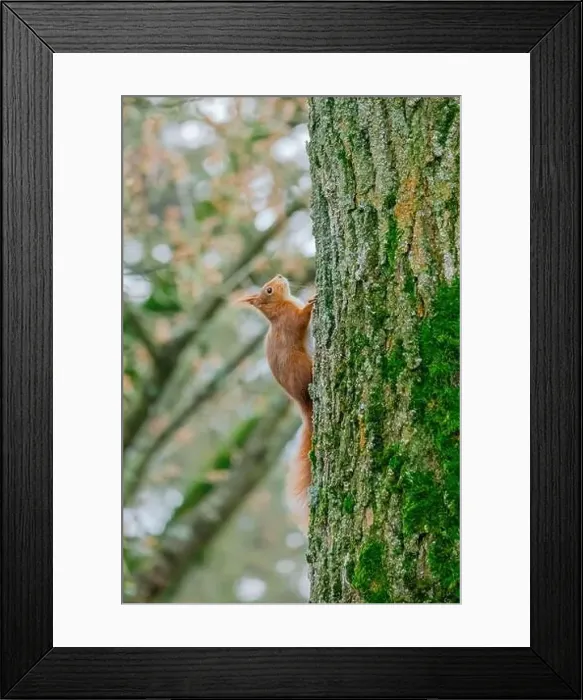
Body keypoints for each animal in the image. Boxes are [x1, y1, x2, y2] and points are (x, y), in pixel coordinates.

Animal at [239, 274, 315, 532]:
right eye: (269, 290)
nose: (280, 276)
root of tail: (302, 402)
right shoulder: (290, 320)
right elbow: (301, 320)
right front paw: (313, 302)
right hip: (302, 366)